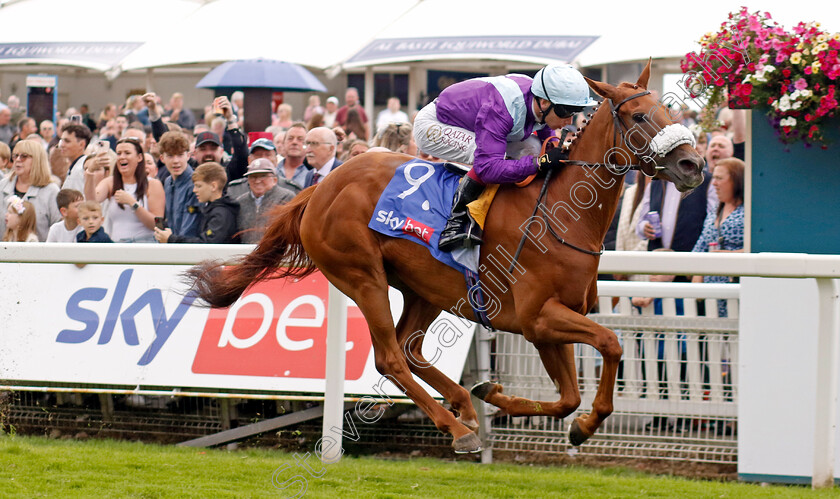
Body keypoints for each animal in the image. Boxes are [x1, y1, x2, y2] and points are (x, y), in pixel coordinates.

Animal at [187, 61, 704, 454]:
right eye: (637, 117)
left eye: (668, 109)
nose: (692, 165)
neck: (560, 215)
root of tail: (321, 186)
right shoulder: (539, 317)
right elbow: (611, 345)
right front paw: (582, 422)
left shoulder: (546, 324)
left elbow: (568, 399)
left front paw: (500, 394)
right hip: (363, 276)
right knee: (390, 358)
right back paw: (457, 428)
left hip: (425, 287)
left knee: (410, 349)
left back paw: (466, 406)